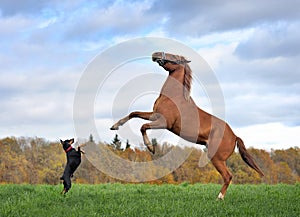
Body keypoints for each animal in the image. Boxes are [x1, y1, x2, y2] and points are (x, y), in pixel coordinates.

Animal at [109, 51, 262, 200]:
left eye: (174, 56)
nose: (155, 54)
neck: (173, 97)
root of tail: (234, 136)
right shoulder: (154, 115)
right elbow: (134, 113)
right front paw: (115, 126)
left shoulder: (164, 123)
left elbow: (143, 126)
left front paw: (151, 148)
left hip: (217, 158)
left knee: (228, 176)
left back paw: (219, 197)